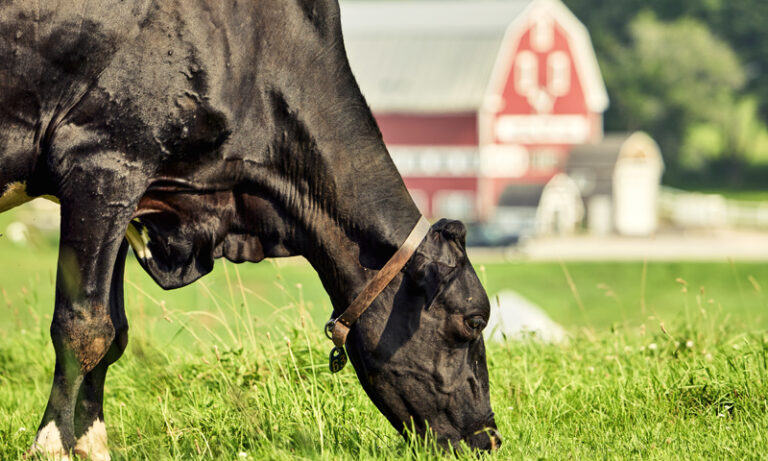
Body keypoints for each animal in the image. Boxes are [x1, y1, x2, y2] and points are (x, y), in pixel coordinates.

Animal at [0, 1, 500, 458]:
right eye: (474, 321)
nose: (491, 438)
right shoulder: (103, 163)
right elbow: (84, 326)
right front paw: (51, 446)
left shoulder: (132, 193)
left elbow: (115, 331)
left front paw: (90, 445)